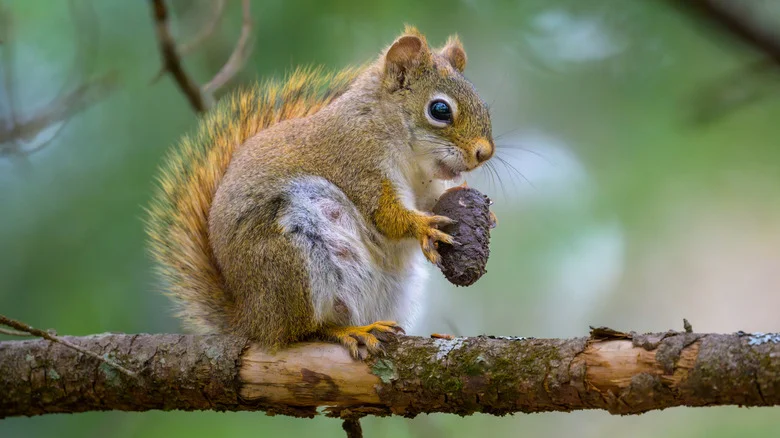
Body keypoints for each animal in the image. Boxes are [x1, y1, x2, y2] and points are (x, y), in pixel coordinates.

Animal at [146, 26, 495, 359]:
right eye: (440, 109)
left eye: (484, 104)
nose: (484, 153)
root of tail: (253, 319)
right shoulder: (356, 162)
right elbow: (383, 214)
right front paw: (423, 226)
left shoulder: (422, 185)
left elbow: (430, 202)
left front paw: (482, 211)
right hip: (292, 260)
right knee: (303, 332)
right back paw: (348, 332)